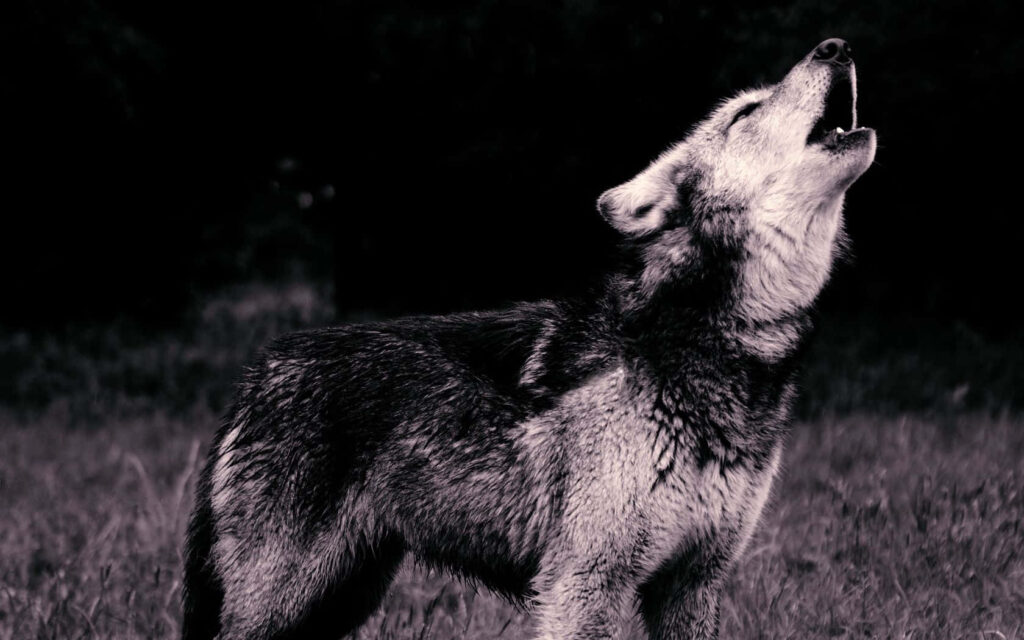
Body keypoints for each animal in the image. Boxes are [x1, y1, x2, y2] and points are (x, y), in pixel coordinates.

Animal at [183, 38, 875, 640]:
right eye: (745, 112)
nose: (837, 46)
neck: (722, 348)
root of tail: (261, 372)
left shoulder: (693, 583)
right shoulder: (584, 583)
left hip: (340, 598)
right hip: (285, 602)